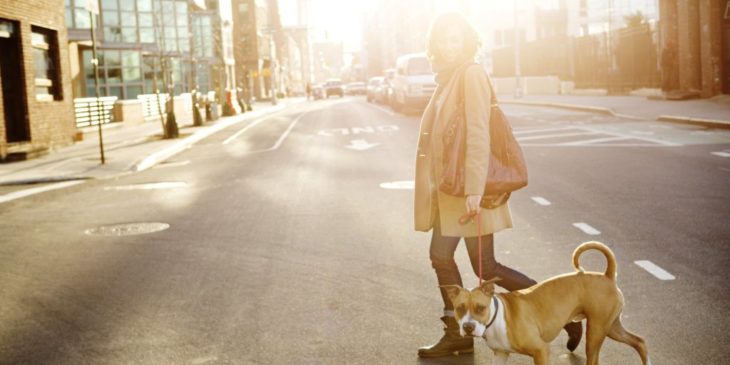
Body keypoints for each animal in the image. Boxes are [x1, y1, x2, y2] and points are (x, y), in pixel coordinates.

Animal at [438, 240, 648, 362]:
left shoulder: (541, 350)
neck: (495, 320)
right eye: (459, 308)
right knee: (640, 341)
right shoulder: (500, 355)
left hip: (596, 332)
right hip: (611, 327)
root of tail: (607, 276)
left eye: (480, 308)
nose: (468, 327)